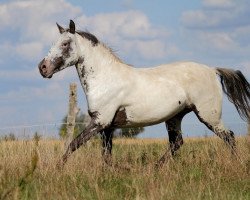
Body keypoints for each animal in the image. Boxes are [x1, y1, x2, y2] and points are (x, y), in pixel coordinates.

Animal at [38, 20, 249, 167]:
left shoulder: (100, 122)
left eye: (66, 43)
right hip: (174, 117)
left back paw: (236, 163)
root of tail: (213, 70)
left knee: (229, 136)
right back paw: (155, 167)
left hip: (209, 116)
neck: (106, 79)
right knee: (177, 143)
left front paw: (58, 167)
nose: (43, 68)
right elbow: (106, 154)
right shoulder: (107, 127)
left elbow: (73, 144)